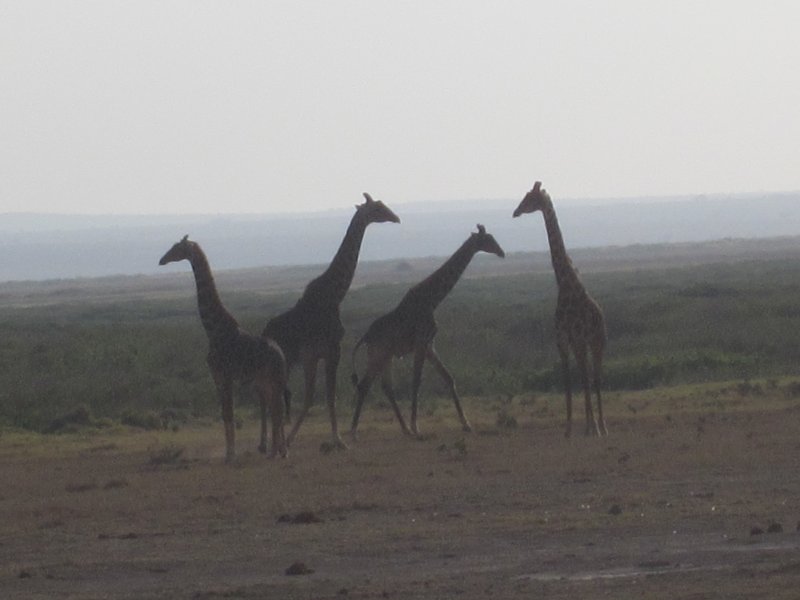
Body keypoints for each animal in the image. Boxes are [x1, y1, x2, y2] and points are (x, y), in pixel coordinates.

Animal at [159, 235, 288, 462]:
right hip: (268, 380)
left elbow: (229, 414)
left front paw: (230, 455)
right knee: (276, 409)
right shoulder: (218, 377)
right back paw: (279, 451)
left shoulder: (226, 376)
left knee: (277, 410)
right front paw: (230, 453)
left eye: (177, 248)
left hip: (272, 379)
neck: (213, 330)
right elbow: (224, 414)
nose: (161, 260)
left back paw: (275, 452)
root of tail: (280, 355)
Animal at [262, 193, 400, 448]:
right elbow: (323, 396)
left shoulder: (318, 354)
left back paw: (267, 442)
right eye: (378, 208)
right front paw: (338, 440)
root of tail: (264, 333)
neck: (335, 294)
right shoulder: (327, 350)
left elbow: (317, 397)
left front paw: (297, 439)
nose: (395, 217)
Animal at [349, 225, 505, 438]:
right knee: (364, 385)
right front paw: (417, 427)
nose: (501, 252)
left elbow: (448, 378)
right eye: (488, 239)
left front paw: (466, 423)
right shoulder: (421, 342)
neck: (432, 300)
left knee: (386, 387)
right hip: (378, 355)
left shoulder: (430, 345)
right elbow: (416, 381)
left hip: (387, 356)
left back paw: (404, 429)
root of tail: (365, 337)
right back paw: (354, 430)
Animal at [513, 181, 608, 437]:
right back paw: (592, 425)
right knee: (588, 375)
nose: (516, 211)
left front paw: (591, 428)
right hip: (583, 344)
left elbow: (583, 379)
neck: (564, 284)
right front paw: (569, 428)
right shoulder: (563, 340)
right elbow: (567, 380)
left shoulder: (577, 338)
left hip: (597, 342)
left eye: (530, 198)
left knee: (595, 377)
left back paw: (601, 426)